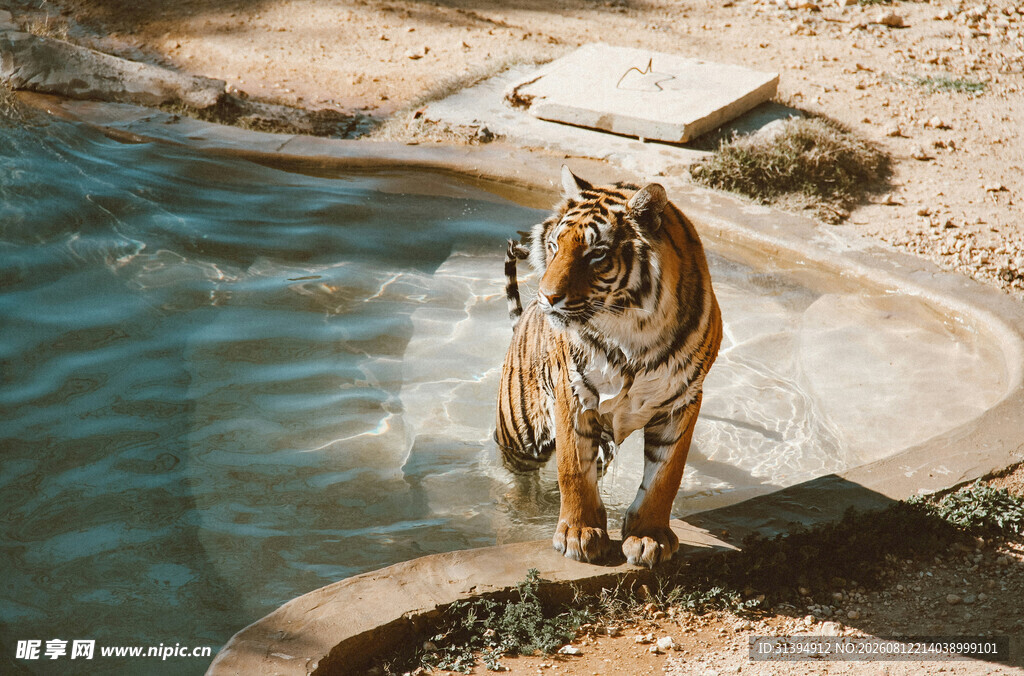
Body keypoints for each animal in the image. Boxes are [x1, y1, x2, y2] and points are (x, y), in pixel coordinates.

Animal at [495, 166, 722, 568]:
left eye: (596, 254)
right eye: (554, 246)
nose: (546, 297)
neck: (633, 332)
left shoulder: (682, 401)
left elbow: (666, 476)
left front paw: (648, 536)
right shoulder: (572, 394)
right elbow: (573, 469)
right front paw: (578, 534)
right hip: (520, 434)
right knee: (515, 478)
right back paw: (521, 511)